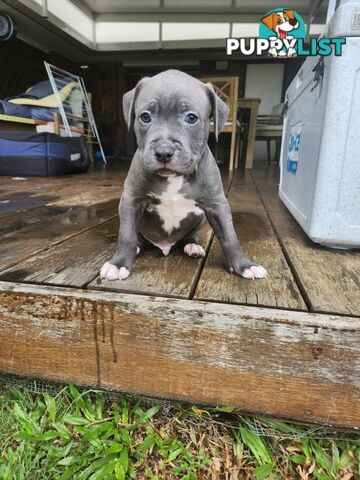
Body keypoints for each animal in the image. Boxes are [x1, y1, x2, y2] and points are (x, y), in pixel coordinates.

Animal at [100, 71, 268, 282]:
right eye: (145, 117)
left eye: (191, 118)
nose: (164, 152)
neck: (174, 177)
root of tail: (164, 246)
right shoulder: (131, 201)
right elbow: (127, 234)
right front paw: (119, 263)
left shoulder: (216, 205)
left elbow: (230, 236)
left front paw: (244, 265)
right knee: (138, 237)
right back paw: (139, 246)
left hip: (200, 218)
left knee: (189, 236)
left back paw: (192, 246)